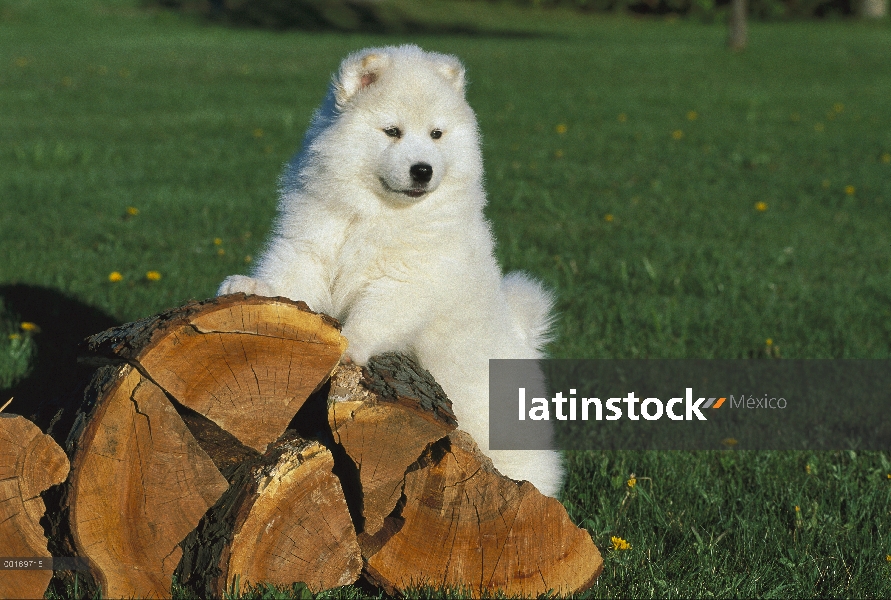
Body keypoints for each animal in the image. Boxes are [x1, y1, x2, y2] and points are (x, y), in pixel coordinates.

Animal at [218, 44, 564, 496]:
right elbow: (290, 275)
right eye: (392, 132)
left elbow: (375, 315)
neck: (378, 212)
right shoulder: (312, 244)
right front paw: (249, 284)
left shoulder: (407, 280)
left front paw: (349, 345)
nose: (423, 169)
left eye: (436, 135)